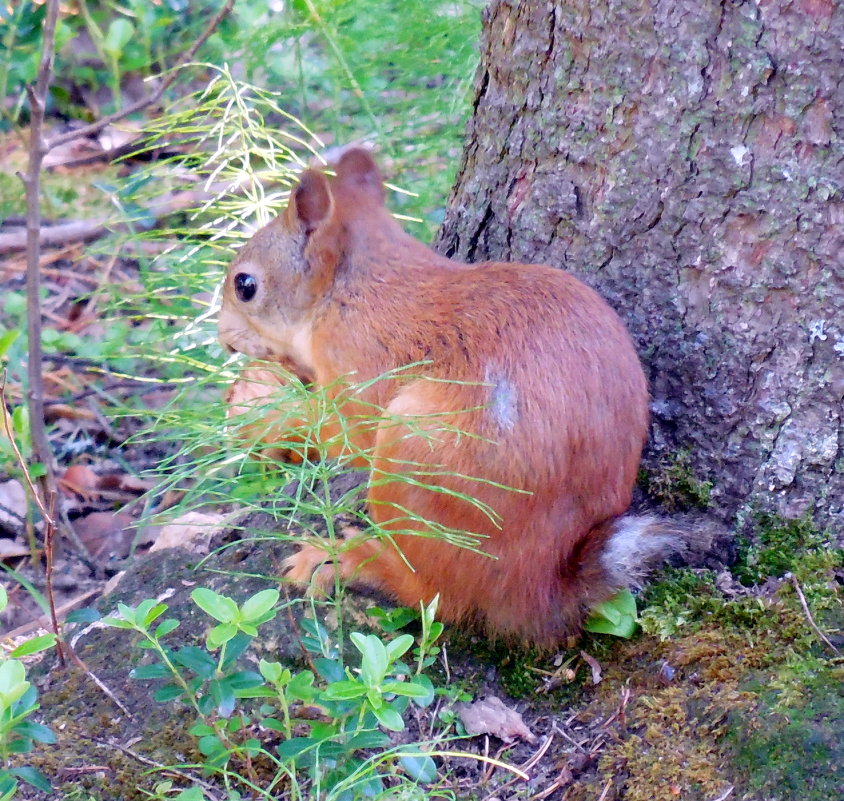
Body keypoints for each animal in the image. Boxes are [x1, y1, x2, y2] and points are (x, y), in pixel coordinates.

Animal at [219, 147, 680, 648]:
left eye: (246, 285)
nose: (224, 339)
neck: (350, 289)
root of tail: (533, 591)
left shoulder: (358, 360)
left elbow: (345, 438)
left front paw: (262, 406)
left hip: (412, 459)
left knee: (432, 595)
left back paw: (345, 560)